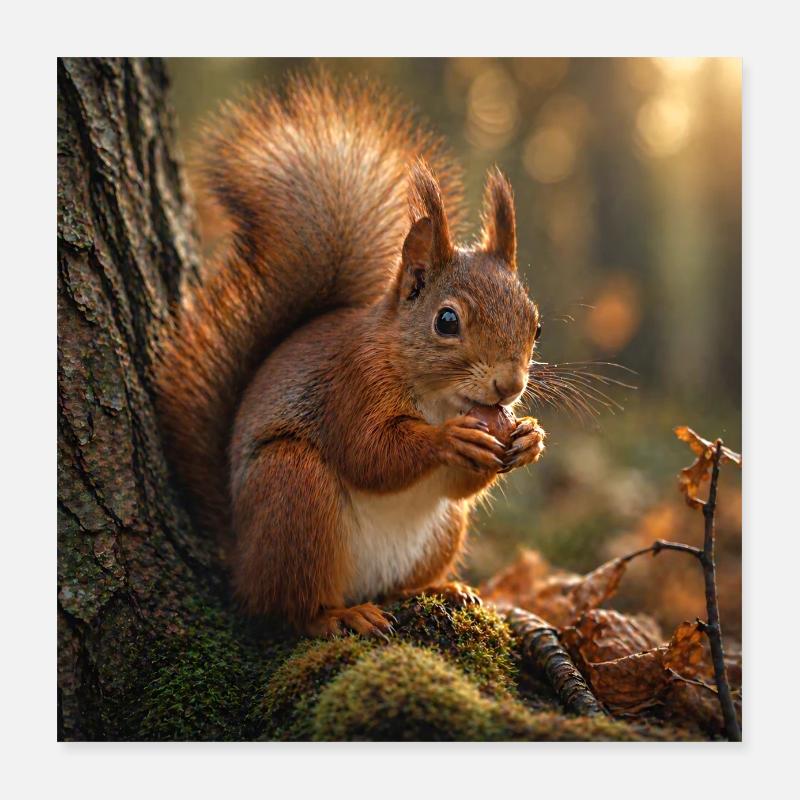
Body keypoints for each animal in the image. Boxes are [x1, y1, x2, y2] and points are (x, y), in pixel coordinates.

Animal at [155, 74, 546, 637]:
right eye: (446, 321)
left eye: (536, 324)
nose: (510, 386)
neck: (439, 398)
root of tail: (241, 557)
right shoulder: (351, 384)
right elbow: (369, 454)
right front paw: (448, 439)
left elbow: (459, 486)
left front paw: (530, 438)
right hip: (295, 490)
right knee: (286, 607)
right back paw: (339, 616)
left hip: (440, 532)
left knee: (400, 578)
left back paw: (440, 589)